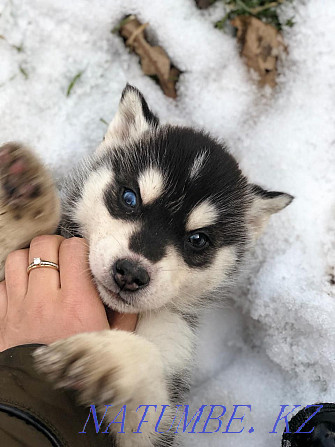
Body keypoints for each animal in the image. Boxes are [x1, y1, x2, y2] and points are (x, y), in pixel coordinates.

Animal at [0, 86, 294, 446]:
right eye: (130, 198)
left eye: (198, 239)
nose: (130, 273)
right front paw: (24, 201)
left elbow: (149, 377)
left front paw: (110, 359)